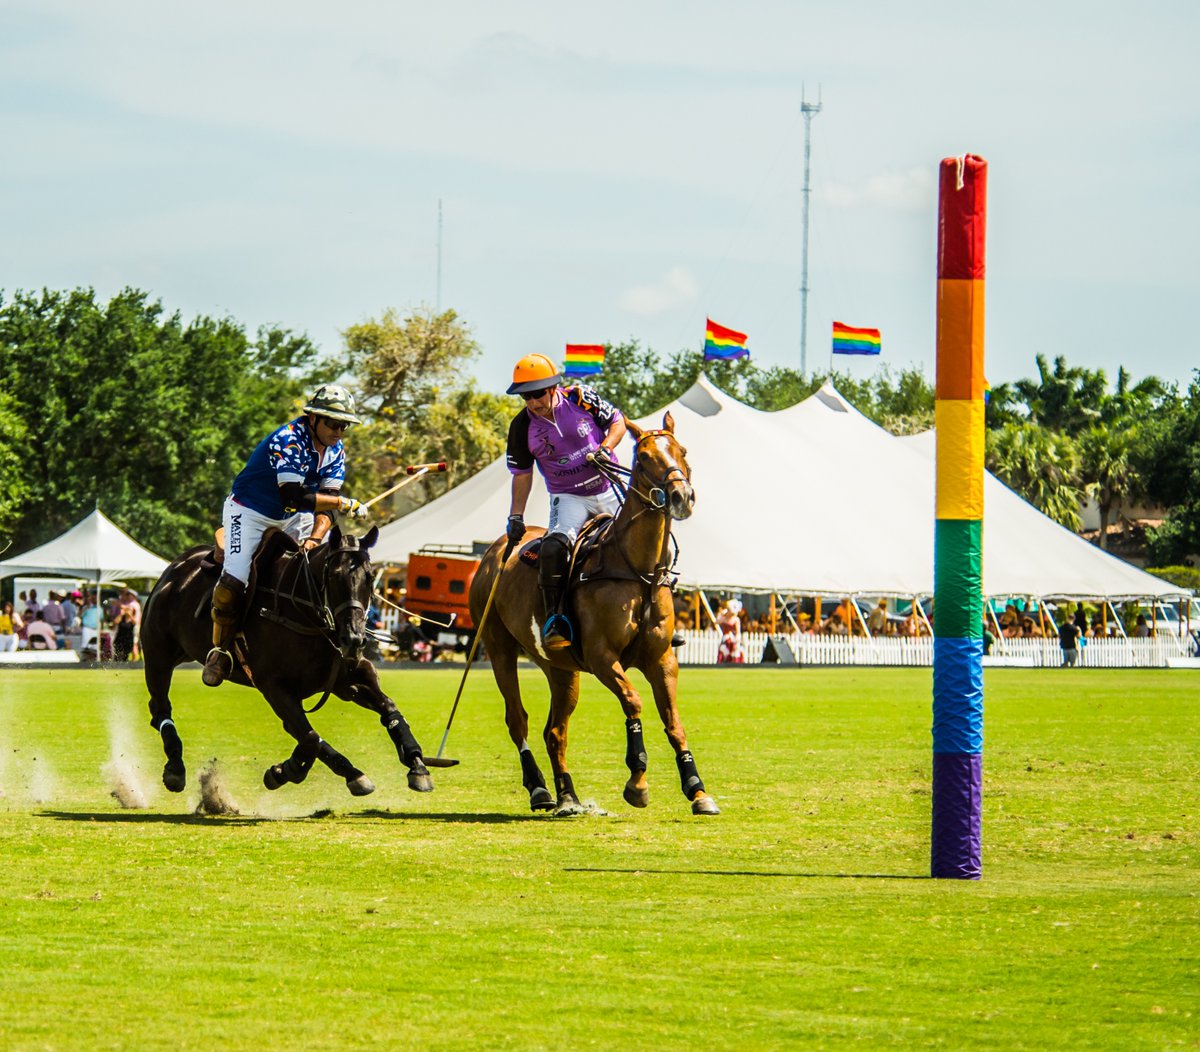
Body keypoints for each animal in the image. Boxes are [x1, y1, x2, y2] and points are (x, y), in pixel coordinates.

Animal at [144, 525, 436, 796]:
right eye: (334, 575)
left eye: (371, 577)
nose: (354, 638)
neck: (307, 614)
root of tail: (178, 566)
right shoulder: (274, 687)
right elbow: (309, 737)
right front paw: (287, 771)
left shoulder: (348, 680)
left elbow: (388, 708)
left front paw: (417, 765)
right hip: (158, 655)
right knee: (159, 707)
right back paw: (175, 767)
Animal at [468, 415, 715, 815]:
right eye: (644, 457)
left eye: (682, 450)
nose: (682, 497)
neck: (638, 570)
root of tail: (494, 551)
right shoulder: (602, 656)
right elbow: (633, 701)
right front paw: (637, 782)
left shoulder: (662, 659)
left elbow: (674, 721)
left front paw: (697, 790)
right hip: (498, 646)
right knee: (517, 719)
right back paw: (539, 789)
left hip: (560, 667)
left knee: (554, 731)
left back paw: (568, 796)